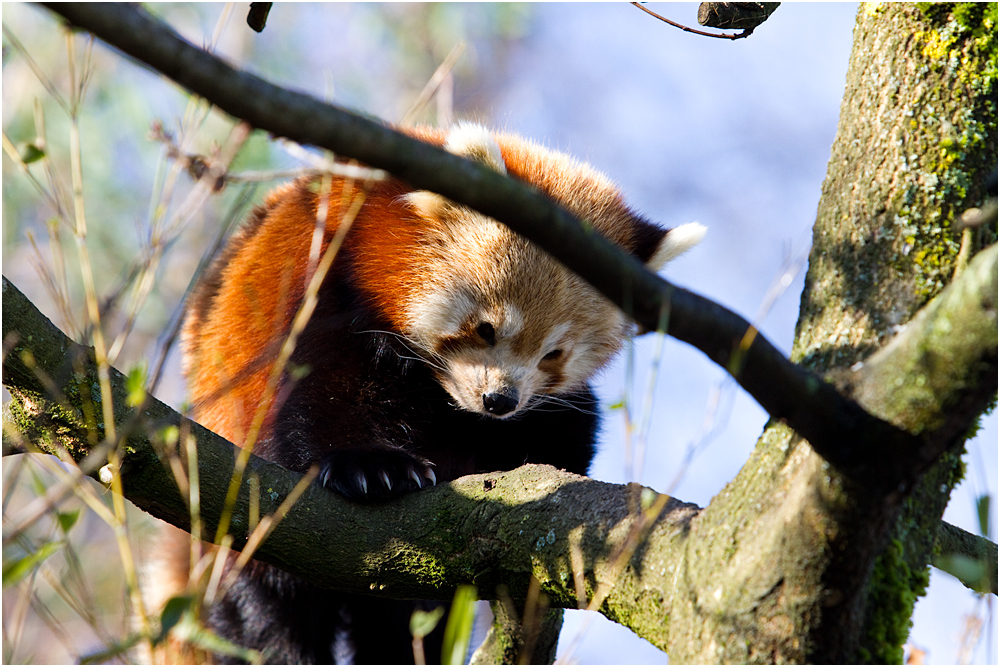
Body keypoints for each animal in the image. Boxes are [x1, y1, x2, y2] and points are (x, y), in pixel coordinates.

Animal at [162, 124, 704, 664]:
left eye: (553, 355)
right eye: (486, 329)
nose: (499, 400)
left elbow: (569, 422)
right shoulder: (322, 281)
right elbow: (321, 395)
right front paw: (371, 467)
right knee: (267, 613)